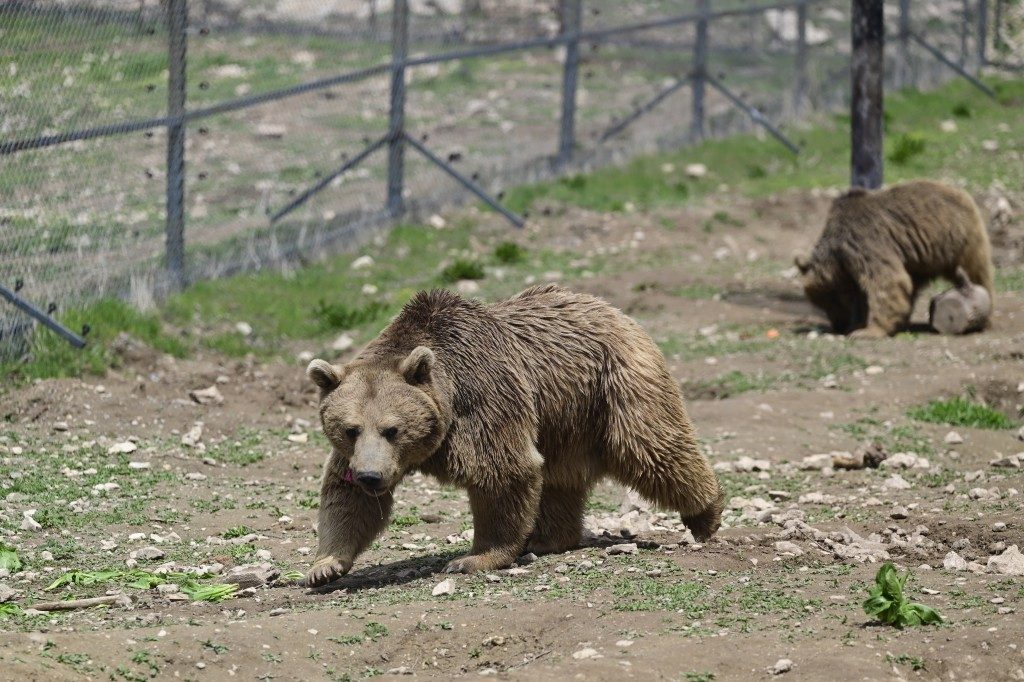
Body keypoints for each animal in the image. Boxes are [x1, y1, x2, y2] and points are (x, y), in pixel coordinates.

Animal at [303, 284, 724, 587]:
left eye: (392, 429)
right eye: (350, 429)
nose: (371, 476)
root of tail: (610, 308)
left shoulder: (484, 396)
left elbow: (502, 471)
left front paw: (474, 557)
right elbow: (345, 497)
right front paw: (325, 565)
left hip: (614, 384)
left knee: (650, 445)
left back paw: (706, 513)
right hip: (563, 418)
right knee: (559, 477)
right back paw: (549, 538)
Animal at [795, 180, 993, 338]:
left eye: (829, 302)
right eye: (823, 305)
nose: (838, 326)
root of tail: (960, 192)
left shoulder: (867, 244)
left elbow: (886, 282)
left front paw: (867, 331)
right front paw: (859, 324)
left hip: (959, 238)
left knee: (976, 270)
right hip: (926, 258)